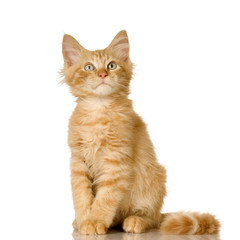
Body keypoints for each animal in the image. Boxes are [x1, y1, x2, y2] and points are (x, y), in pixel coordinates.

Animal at [61, 30, 220, 234]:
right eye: (89, 67)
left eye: (111, 65)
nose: (103, 74)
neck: (99, 109)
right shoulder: (78, 160)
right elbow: (81, 195)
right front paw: (83, 220)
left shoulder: (117, 160)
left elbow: (105, 197)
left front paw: (95, 221)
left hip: (155, 179)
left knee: (152, 219)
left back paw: (135, 221)